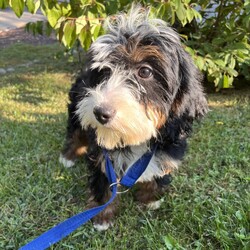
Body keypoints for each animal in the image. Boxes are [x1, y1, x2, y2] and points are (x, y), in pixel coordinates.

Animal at [59, 6, 208, 231]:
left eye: (145, 71)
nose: (100, 112)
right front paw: (102, 216)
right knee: (76, 132)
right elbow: (104, 179)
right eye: (104, 71)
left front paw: (150, 199)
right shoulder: (103, 154)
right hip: (78, 108)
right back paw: (68, 156)